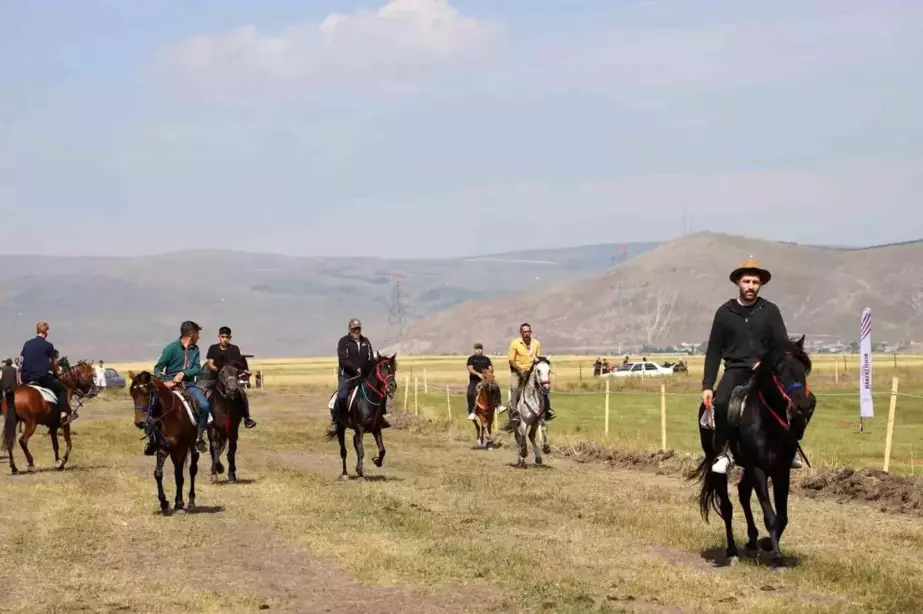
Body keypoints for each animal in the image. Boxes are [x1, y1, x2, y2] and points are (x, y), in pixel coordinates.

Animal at [126, 372, 204, 516]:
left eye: (146, 393)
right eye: (133, 394)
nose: (139, 422)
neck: (172, 415)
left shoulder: (180, 448)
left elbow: (180, 475)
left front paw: (178, 503)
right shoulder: (163, 448)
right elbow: (159, 474)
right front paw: (165, 504)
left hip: (192, 448)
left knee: (192, 470)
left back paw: (190, 501)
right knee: (179, 472)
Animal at [692, 336, 816, 568]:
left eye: (803, 369)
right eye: (778, 371)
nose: (801, 407)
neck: (768, 425)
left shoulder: (781, 471)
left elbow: (782, 517)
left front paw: (767, 543)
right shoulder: (759, 469)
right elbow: (770, 515)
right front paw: (776, 556)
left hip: (748, 467)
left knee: (742, 492)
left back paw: (751, 541)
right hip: (721, 466)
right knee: (727, 506)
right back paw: (732, 551)